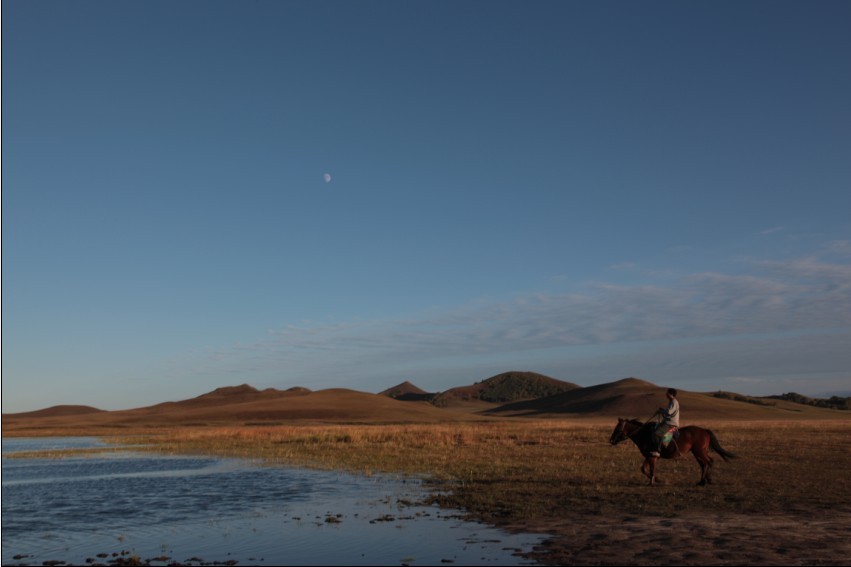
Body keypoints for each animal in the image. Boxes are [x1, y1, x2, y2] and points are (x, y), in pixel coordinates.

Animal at [608, 418, 736, 488]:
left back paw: (706, 480)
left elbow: (651, 469)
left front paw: (652, 482)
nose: (611, 440)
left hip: (699, 451)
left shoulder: (652, 456)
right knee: (704, 464)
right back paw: (701, 481)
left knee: (709, 461)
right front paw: (657, 480)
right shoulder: (650, 456)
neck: (644, 434)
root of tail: (705, 430)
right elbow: (643, 469)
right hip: (698, 452)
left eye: (618, 429)